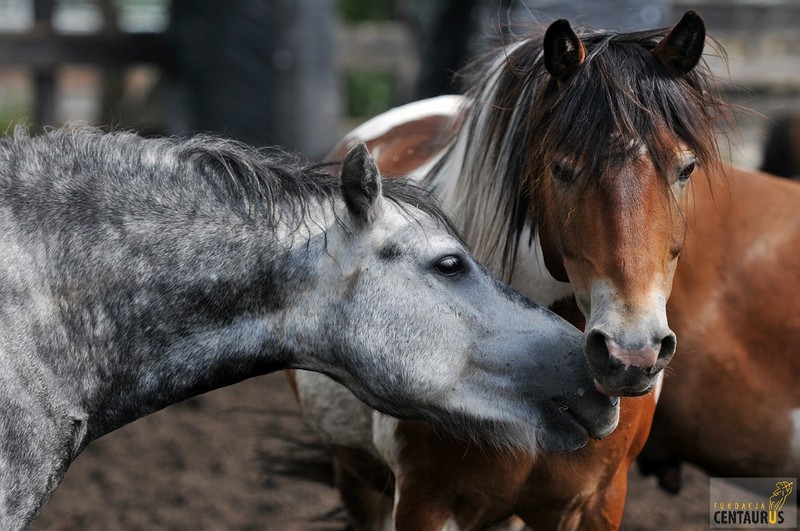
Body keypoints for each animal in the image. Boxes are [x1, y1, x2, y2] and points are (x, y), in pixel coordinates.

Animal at [290, 12, 744, 531]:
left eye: (686, 168)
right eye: (562, 169)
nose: (632, 353)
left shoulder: (597, 503)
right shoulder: (425, 501)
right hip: (358, 478)